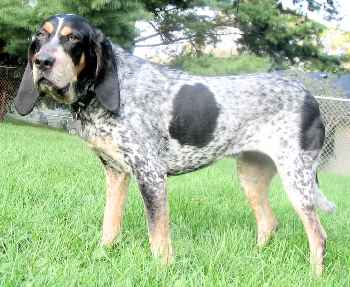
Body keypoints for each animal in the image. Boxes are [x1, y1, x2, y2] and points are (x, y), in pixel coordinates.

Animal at [14, 12, 336, 276]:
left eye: (73, 38)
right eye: (40, 36)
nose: (42, 62)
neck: (101, 94)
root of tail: (310, 97)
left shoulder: (151, 175)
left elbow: (157, 235)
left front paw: (162, 270)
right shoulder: (116, 173)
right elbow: (110, 225)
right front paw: (101, 257)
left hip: (297, 179)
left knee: (318, 235)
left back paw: (314, 276)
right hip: (251, 175)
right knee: (269, 223)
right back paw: (255, 260)